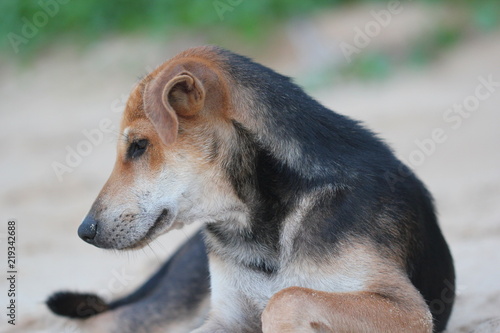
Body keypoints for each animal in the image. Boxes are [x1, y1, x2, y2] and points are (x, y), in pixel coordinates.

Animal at [47, 46, 454, 332]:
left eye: (138, 146)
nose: (84, 231)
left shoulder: (408, 308)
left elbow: (286, 298)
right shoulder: (226, 317)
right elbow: (285, 298)